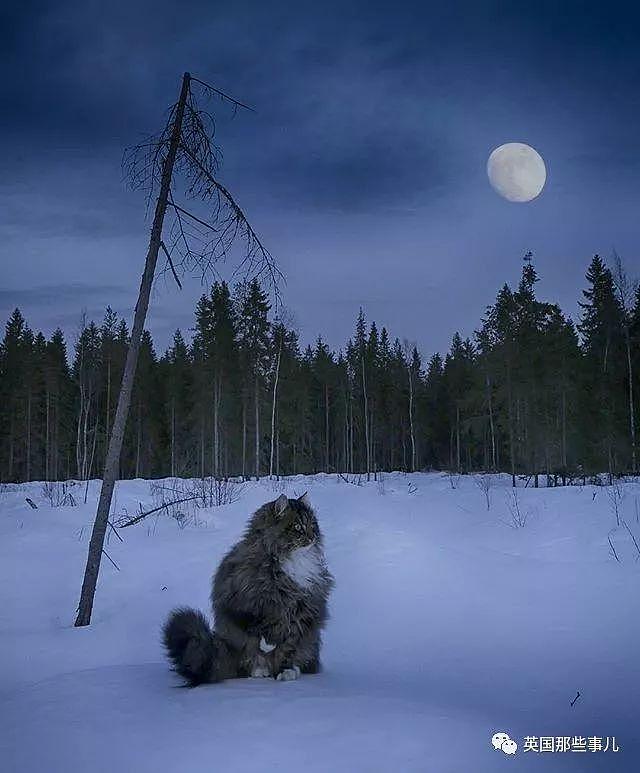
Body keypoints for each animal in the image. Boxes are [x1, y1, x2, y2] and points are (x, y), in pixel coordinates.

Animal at [161, 492, 336, 684]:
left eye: (312, 525)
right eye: (297, 526)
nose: (312, 537)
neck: (293, 560)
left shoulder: (300, 612)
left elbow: (286, 648)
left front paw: (285, 670)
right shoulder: (248, 602)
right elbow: (259, 629)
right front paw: (268, 646)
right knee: (248, 658)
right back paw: (260, 670)